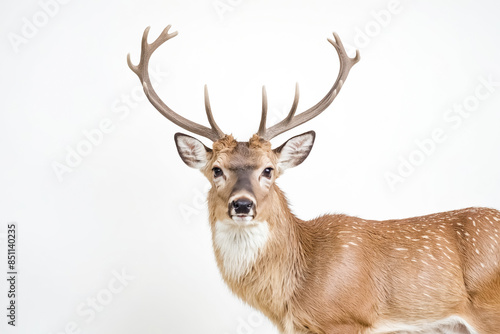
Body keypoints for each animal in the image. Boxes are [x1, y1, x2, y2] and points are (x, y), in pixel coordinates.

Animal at [129, 24, 500, 332]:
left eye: (269, 169)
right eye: (216, 170)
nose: (242, 205)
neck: (297, 290)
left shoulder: (347, 318)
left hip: (487, 309)